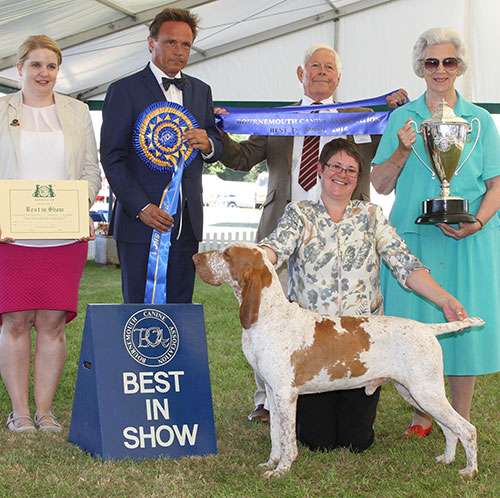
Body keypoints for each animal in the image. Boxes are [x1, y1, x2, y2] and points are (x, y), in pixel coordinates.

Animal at [192, 242, 484, 478]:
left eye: (227, 254)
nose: (195, 257)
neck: (269, 315)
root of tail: (427, 329)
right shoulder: (273, 394)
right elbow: (276, 435)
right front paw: (271, 463)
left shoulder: (286, 395)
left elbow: (287, 440)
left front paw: (282, 470)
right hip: (414, 393)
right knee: (450, 429)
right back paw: (446, 459)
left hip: (426, 392)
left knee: (466, 429)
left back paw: (469, 471)